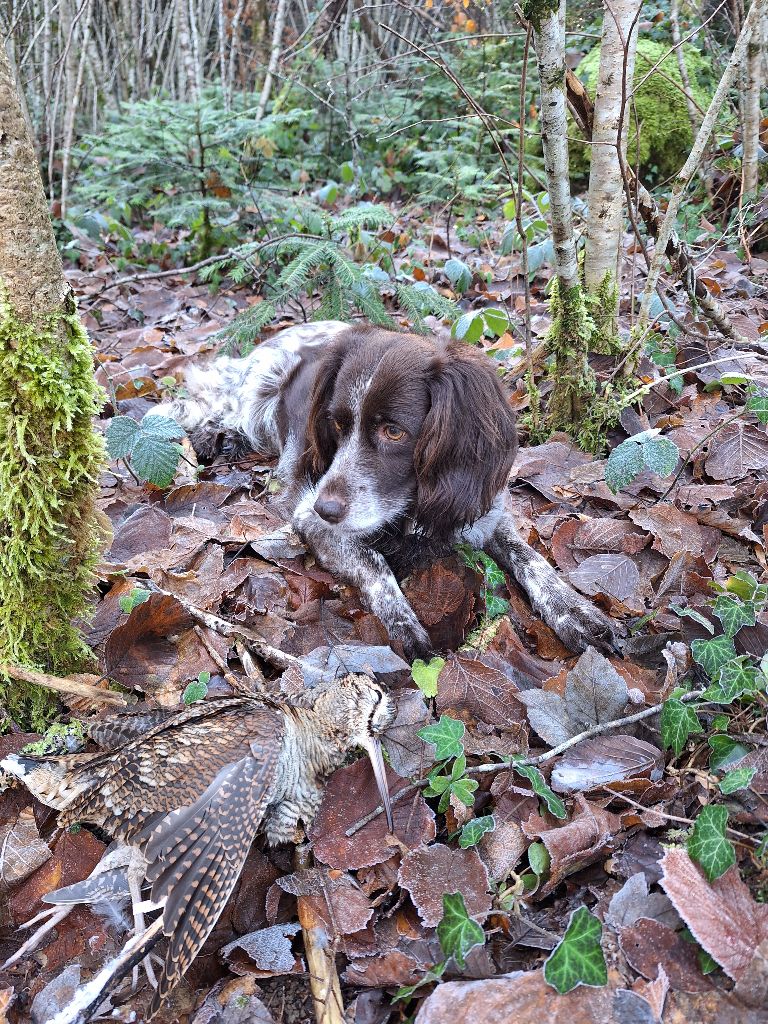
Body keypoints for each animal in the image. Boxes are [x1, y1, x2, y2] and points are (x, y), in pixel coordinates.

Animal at [148, 317, 618, 663]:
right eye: (336, 424)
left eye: (394, 432)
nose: (326, 508)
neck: (411, 508)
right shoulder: (314, 522)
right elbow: (375, 564)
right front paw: (406, 624)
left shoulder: (483, 511)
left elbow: (533, 560)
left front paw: (576, 612)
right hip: (258, 392)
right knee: (208, 406)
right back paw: (212, 435)